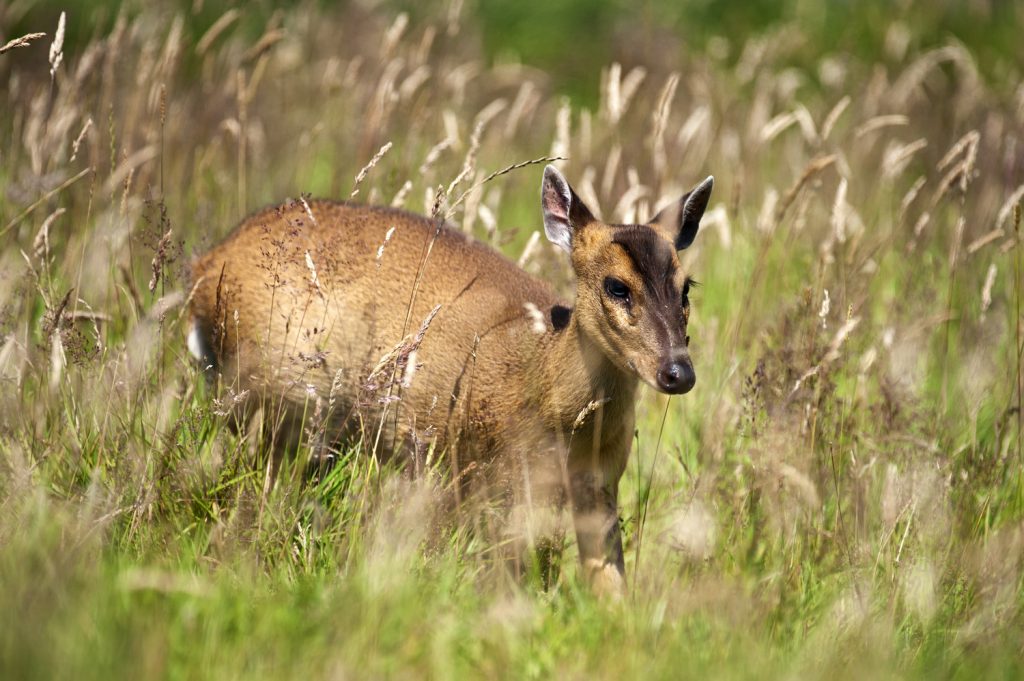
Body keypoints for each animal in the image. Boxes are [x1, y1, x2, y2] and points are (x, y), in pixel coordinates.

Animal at [188, 165, 712, 593]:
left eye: (686, 288)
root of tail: (206, 266)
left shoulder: (601, 483)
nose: (678, 372)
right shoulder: (503, 475)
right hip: (276, 397)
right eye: (616, 286)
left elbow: (610, 585)